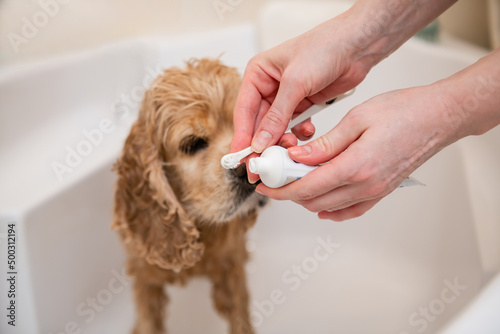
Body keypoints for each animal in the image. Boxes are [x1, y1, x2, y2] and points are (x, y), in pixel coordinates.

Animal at [112, 58, 268, 334]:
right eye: (192, 144)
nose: (245, 168)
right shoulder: (144, 276)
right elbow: (148, 321)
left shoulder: (231, 267)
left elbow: (239, 317)